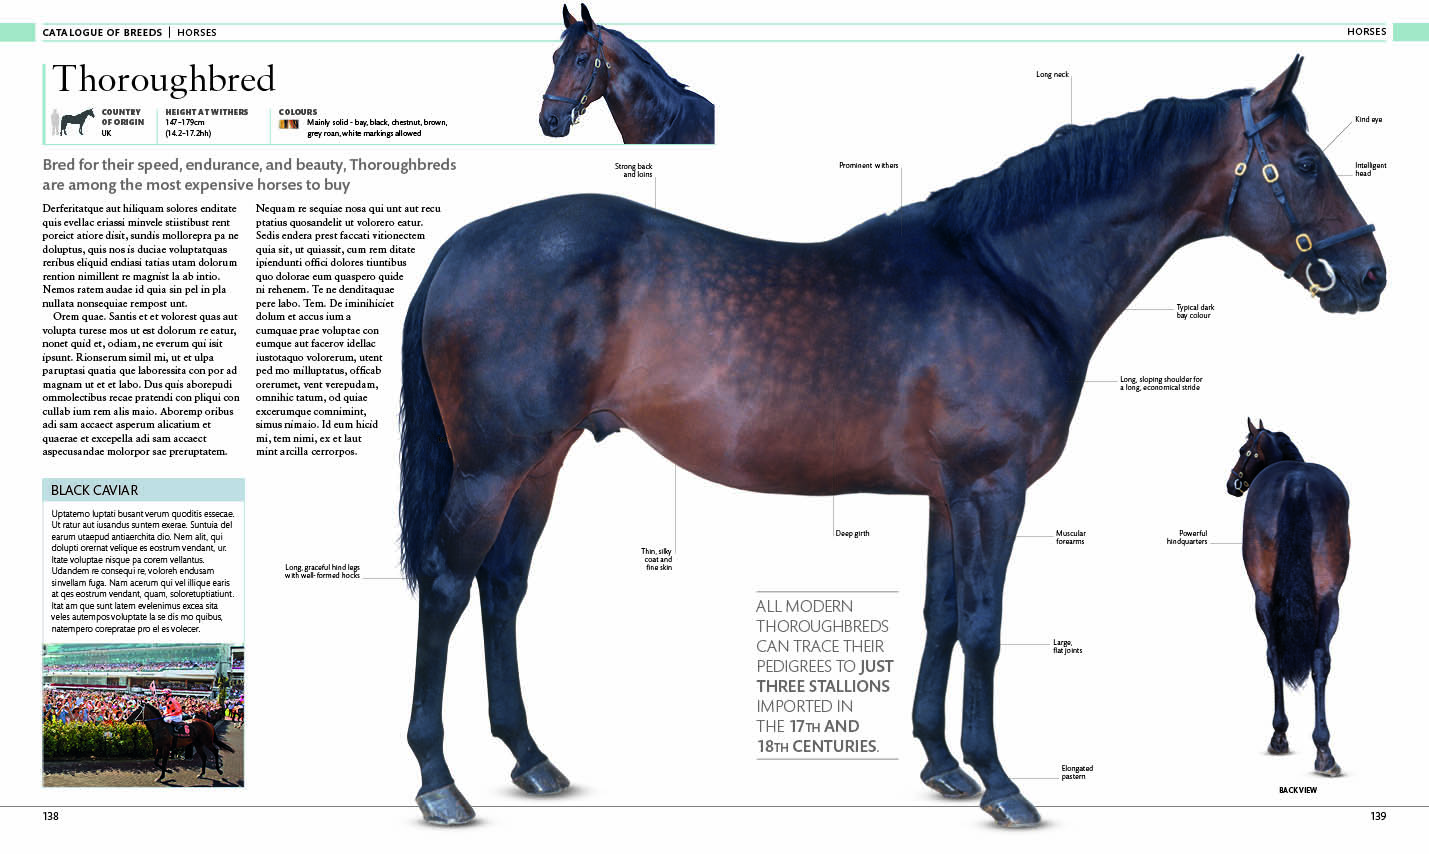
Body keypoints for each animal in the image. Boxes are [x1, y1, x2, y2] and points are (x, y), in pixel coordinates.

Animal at [1226, 419, 1350, 776]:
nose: (1232, 483)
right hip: (1327, 596)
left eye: (1244, 449)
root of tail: (1296, 483)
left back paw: (1291, 739)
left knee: (1279, 654)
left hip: (1268, 597)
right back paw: (1320, 750)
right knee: (1313, 657)